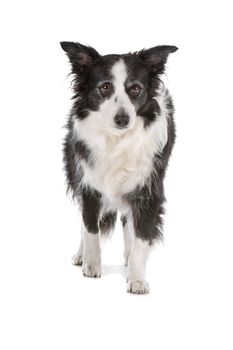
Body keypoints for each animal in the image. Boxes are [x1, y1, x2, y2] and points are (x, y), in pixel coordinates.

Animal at [60, 41, 178, 294]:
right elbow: (90, 228)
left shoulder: (148, 189)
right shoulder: (88, 184)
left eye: (135, 89)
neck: (116, 139)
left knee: (128, 223)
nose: (122, 119)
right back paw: (81, 255)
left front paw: (137, 278)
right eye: (104, 87)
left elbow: (141, 236)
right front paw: (91, 265)